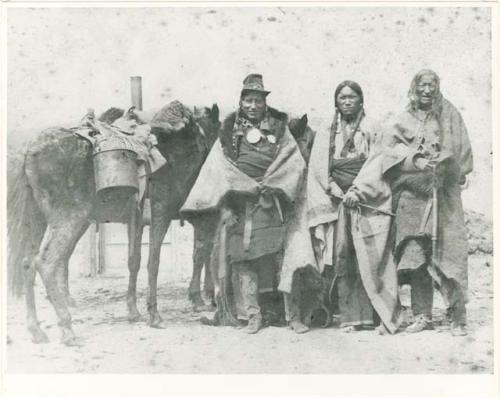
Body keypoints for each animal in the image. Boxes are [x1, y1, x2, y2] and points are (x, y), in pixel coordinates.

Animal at [7, 100, 219, 346]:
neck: (174, 150)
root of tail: (29, 152)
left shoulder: (136, 220)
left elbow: (134, 261)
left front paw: (133, 311)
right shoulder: (162, 213)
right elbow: (155, 262)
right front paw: (155, 315)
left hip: (37, 220)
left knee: (27, 263)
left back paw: (37, 330)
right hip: (71, 217)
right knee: (47, 262)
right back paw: (67, 328)